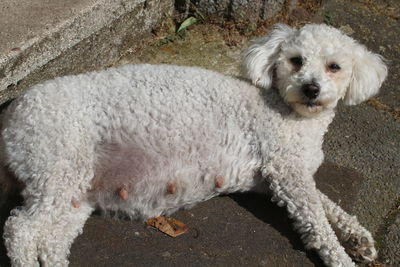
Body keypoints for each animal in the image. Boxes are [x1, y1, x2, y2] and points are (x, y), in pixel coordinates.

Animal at [0, 24, 388, 266]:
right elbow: (318, 222)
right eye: (296, 61)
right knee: (20, 231)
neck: (289, 110)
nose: (310, 89)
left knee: (50, 241)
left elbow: (329, 206)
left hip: (75, 191)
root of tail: (11, 117)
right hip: (57, 165)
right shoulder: (286, 172)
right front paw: (341, 256)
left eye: (334, 66)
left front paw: (359, 239)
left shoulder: (281, 179)